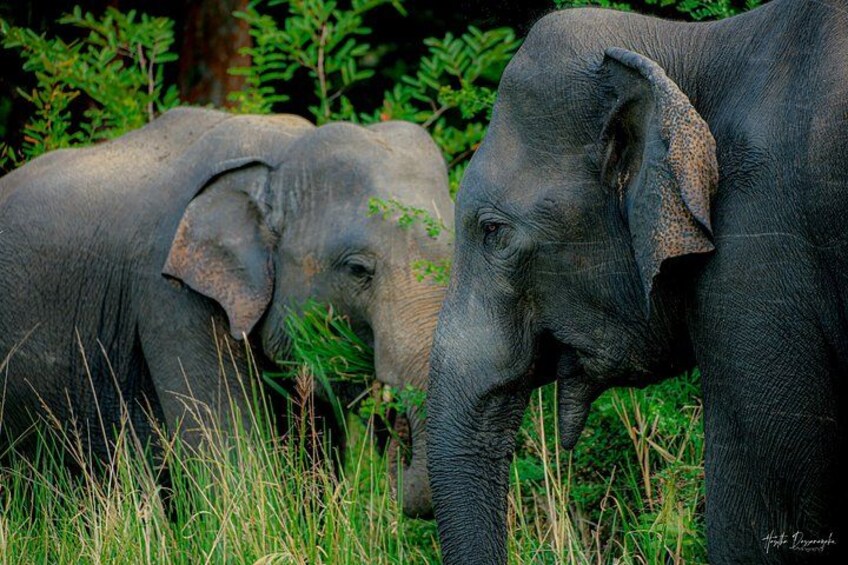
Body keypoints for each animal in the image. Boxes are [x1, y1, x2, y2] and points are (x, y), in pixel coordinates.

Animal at [0, 106, 452, 518]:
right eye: (358, 269)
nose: (396, 435)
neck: (280, 153)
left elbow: (315, 455)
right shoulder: (171, 300)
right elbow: (230, 458)